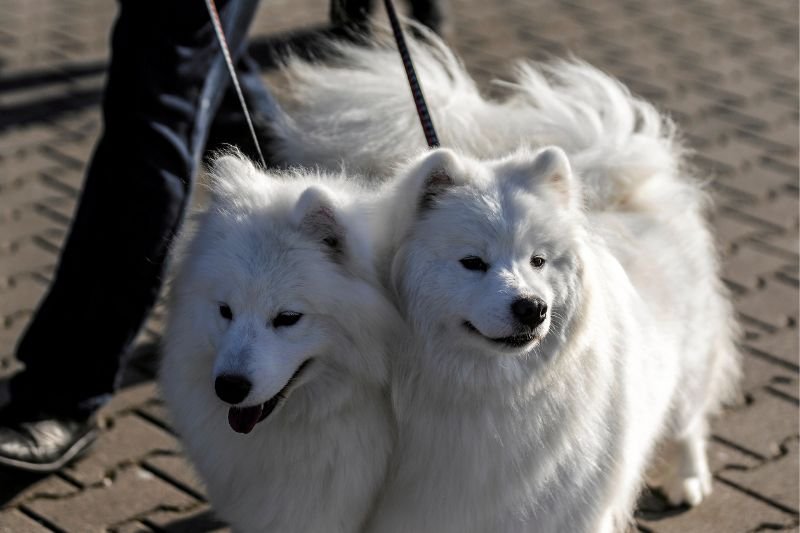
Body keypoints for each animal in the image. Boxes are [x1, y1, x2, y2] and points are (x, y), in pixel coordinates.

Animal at [266, 32, 740, 532]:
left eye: (538, 261)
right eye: (472, 262)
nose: (532, 308)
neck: (490, 390)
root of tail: (625, 188)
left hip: (689, 366)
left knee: (691, 422)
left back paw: (688, 479)